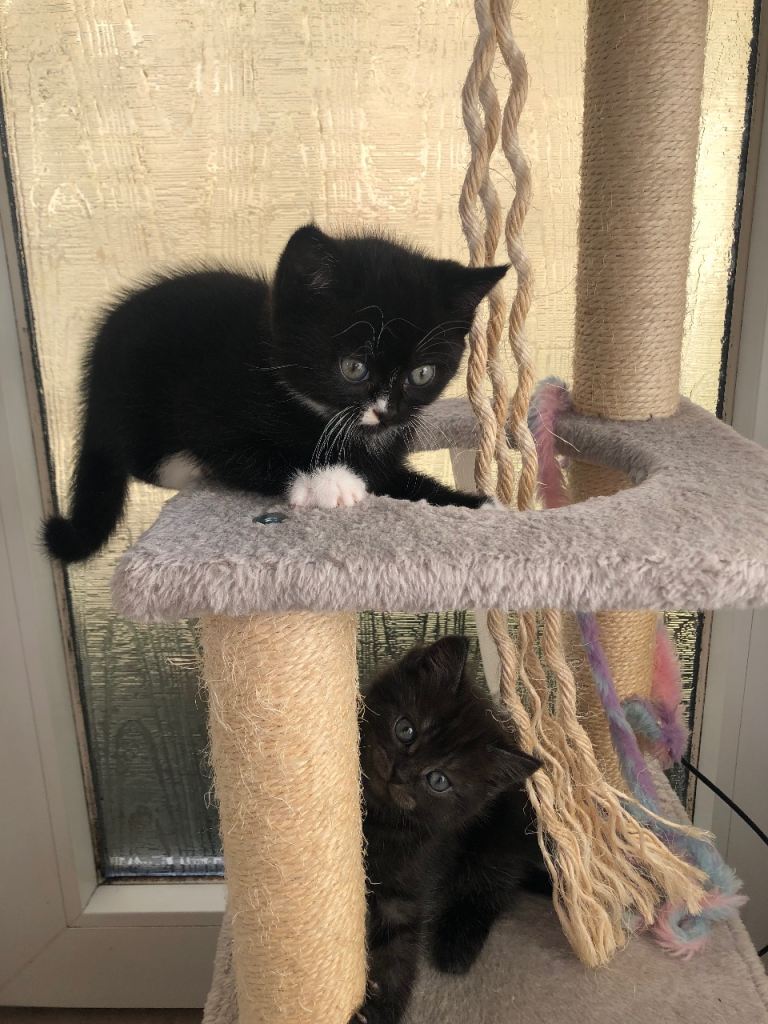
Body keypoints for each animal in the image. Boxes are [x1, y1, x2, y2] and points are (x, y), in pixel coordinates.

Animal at [43, 225, 508, 563]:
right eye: (353, 368)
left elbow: (397, 479)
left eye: (422, 374)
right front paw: (329, 481)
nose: (388, 412)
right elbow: (252, 455)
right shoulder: (209, 407)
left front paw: (479, 506)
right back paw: (187, 467)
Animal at [355, 635, 547, 1024]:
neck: (382, 820)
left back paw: (455, 945)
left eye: (439, 780)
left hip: (499, 840)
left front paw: (379, 1007)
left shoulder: (409, 882)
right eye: (405, 729)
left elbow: (397, 947)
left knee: (490, 889)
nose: (399, 773)